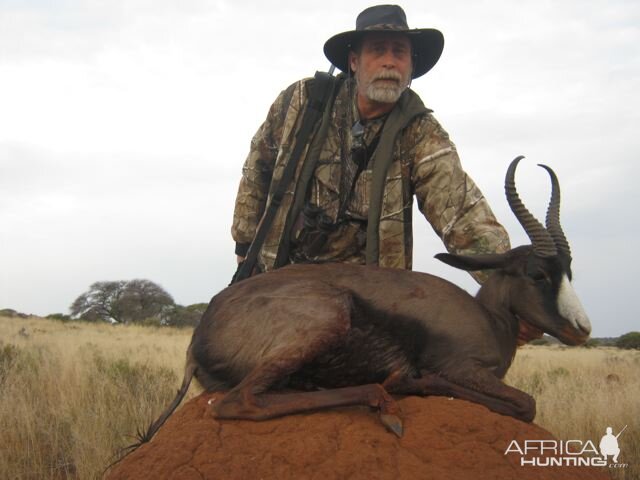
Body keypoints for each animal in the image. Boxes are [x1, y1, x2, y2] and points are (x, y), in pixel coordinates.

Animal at [131, 158, 596, 450]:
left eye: (569, 270)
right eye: (537, 274)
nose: (582, 330)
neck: (489, 320)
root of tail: (198, 339)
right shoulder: (464, 368)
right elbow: (525, 404)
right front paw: (418, 382)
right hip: (326, 319)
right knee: (241, 401)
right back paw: (390, 402)